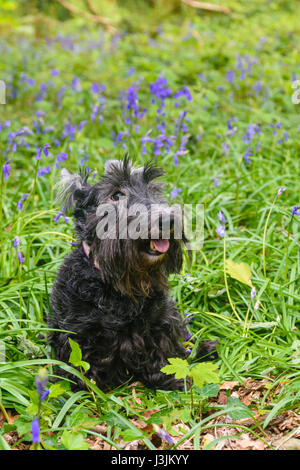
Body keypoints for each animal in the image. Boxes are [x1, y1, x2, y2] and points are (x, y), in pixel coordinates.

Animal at [48, 156, 217, 392]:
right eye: (117, 195)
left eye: (153, 188)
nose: (168, 220)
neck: (117, 282)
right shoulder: (77, 336)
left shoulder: (160, 322)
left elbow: (165, 354)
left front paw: (172, 379)